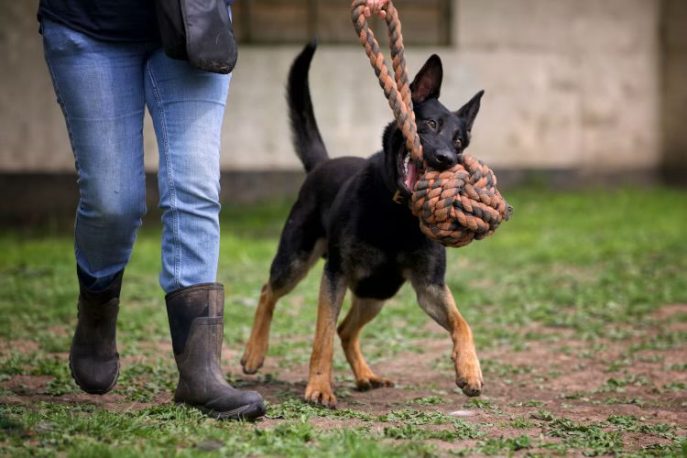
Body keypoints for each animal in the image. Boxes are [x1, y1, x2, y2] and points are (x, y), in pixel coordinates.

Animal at [241, 43, 484, 408]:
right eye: (429, 124)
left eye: (459, 141)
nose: (446, 159)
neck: (396, 212)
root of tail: (323, 164)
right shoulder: (335, 275)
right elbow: (322, 336)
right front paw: (319, 387)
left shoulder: (430, 287)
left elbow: (462, 323)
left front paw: (469, 370)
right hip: (296, 261)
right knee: (269, 291)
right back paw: (255, 352)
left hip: (377, 291)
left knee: (346, 329)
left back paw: (366, 375)